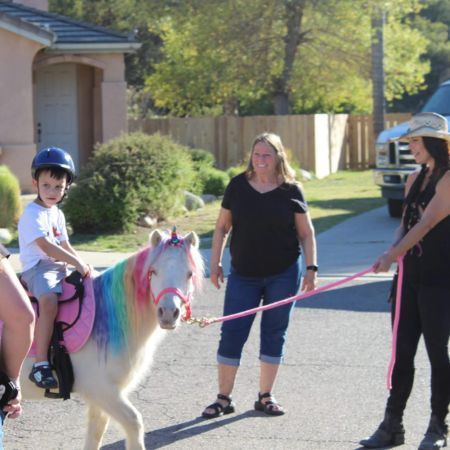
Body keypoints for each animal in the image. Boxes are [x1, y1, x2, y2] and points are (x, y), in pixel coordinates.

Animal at [19, 228, 204, 450]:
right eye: (153, 271)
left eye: (189, 274)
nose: (168, 313)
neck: (106, 315)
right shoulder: (102, 391)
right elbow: (134, 423)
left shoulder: (102, 399)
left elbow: (95, 434)